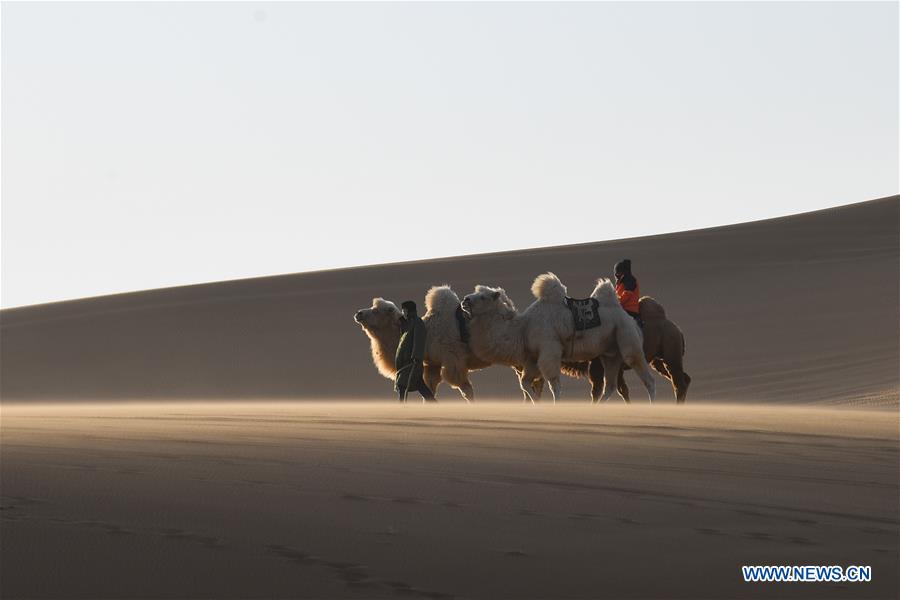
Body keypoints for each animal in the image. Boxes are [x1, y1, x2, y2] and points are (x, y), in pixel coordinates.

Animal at [464, 274, 652, 406]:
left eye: (483, 297)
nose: (465, 300)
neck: (523, 329)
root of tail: (630, 319)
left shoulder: (549, 351)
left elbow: (554, 385)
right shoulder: (533, 358)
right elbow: (525, 383)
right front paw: (537, 403)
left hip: (627, 337)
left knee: (645, 376)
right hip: (610, 352)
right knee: (610, 385)